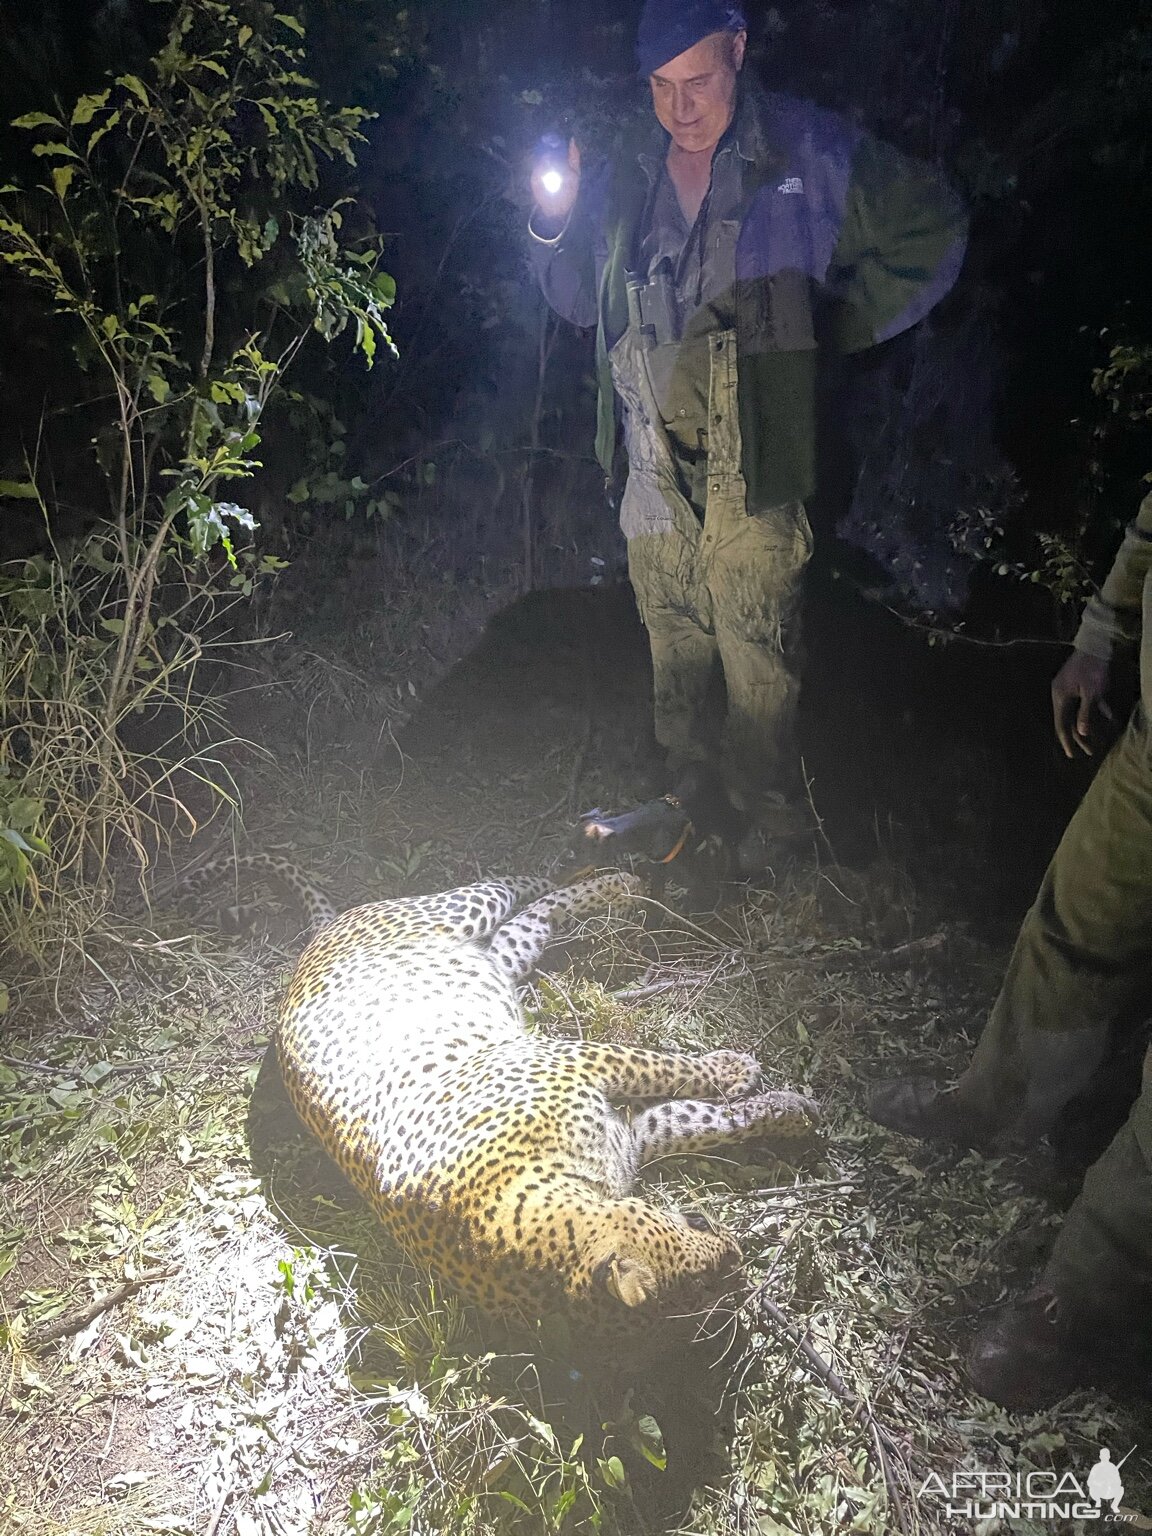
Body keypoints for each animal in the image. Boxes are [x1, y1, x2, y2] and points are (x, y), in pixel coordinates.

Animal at [175, 860, 823, 1339]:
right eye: (703, 1285)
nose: (736, 1252)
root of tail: (315, 939)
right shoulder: (624, 1120)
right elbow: (694, 1108)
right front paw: (766, 1093)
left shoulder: (588, 1068)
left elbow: (682, 1085)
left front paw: (768, 1095)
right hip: (492, 954)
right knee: (529, 914)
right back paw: (618, 884)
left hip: (461, 919)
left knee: (512, 883)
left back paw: (611, 877)